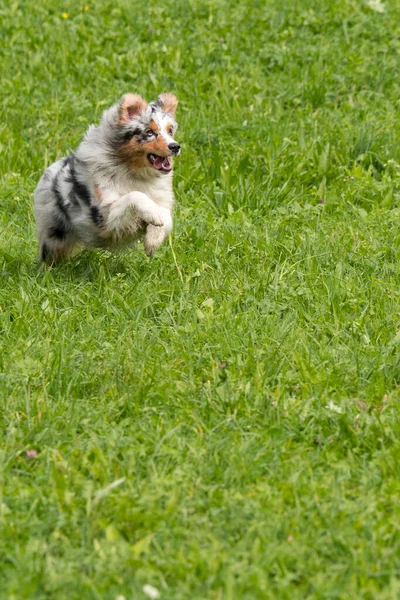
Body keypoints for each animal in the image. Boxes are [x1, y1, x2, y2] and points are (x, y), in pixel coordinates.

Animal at [33, 92, 180, 262]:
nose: (175, 146)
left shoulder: (162, 201)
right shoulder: (106, 218)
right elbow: (135, 195)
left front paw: (152, 241)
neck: (135, 173)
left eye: (170, 131)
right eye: (149, 132)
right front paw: (153, 214)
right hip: (54, 236)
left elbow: (166, 218)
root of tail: (50, 171)